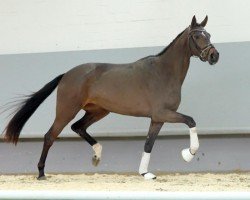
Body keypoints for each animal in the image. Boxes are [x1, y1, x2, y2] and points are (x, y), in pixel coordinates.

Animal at [3, 15, 219, 180]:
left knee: (78, 127)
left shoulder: (157, 118)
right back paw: (41, 173)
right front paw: (188, 154)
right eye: (197, 35)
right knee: (50, 136)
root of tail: (66, 74)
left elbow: (149, 144)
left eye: (208, 34)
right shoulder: (163, 113)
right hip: (67, 110)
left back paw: (97, 155)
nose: (214, 56)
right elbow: (191, 121)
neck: (163, 72)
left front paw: (145, 173)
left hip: (98, 111)